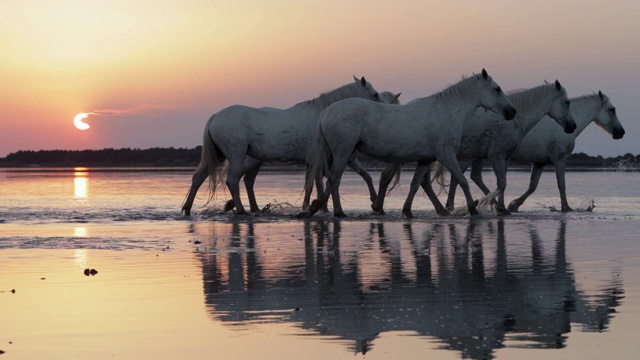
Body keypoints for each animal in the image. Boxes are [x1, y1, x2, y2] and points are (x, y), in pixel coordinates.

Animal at [182, 76, 398, 215]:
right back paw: (242, 210)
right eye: (375, 94)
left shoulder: (312, 162)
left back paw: (188, 208)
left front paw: (311, 206)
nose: (387, 108)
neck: (321, 115)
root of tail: (215, 116)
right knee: (233, 180)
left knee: (199, 177)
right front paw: (316, 207)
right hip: (236, 155)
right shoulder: (317, 159)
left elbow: (310, 185)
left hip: (221, 155)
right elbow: (316, 184)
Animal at [302, 69, 516, 218]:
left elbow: (415, 184)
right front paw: (473, 208)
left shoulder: (425, 160)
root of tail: (327, 111)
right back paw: (337, 212)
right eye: (497, 89)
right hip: (343, 153)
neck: (446, 112)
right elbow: (462, 180)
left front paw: (407, 210)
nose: (512, 111)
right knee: (333, 180)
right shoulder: (446, 156)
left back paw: (316, 207)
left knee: (330, 180)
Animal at [418, 81, 576, 214]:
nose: (572, 126)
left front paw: (501, 207)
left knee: (425, 182)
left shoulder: (504, 158)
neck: (513, 120)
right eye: (567, 102)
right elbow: (501, 184)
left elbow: (502, 184)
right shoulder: (496, 156)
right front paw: (498, 207)